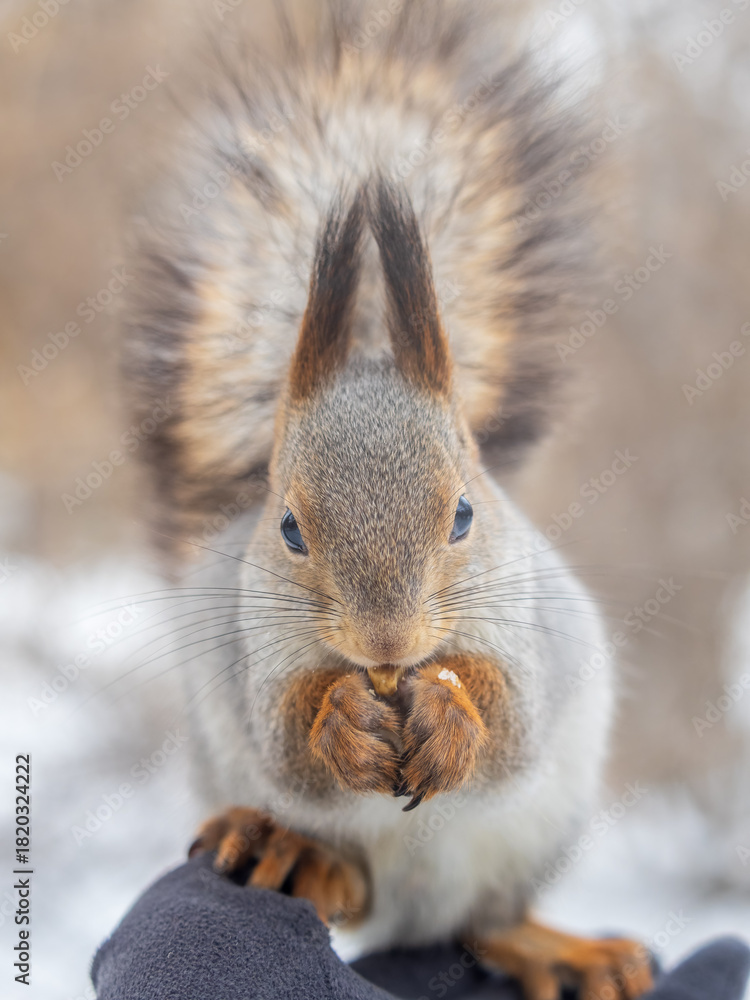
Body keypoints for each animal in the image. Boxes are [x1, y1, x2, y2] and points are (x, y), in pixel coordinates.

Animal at [123, 3, 652, 998]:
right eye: (289, 527)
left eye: (465, 515)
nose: (387, 647)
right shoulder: (254, 655)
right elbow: (287, 738)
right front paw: (340, 716)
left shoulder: (525, 627)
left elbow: (512, 721)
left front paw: (447, 709)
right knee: (354, 879)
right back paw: (292, 852)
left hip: (529, 839)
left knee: (486, 923)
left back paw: (563, 951)